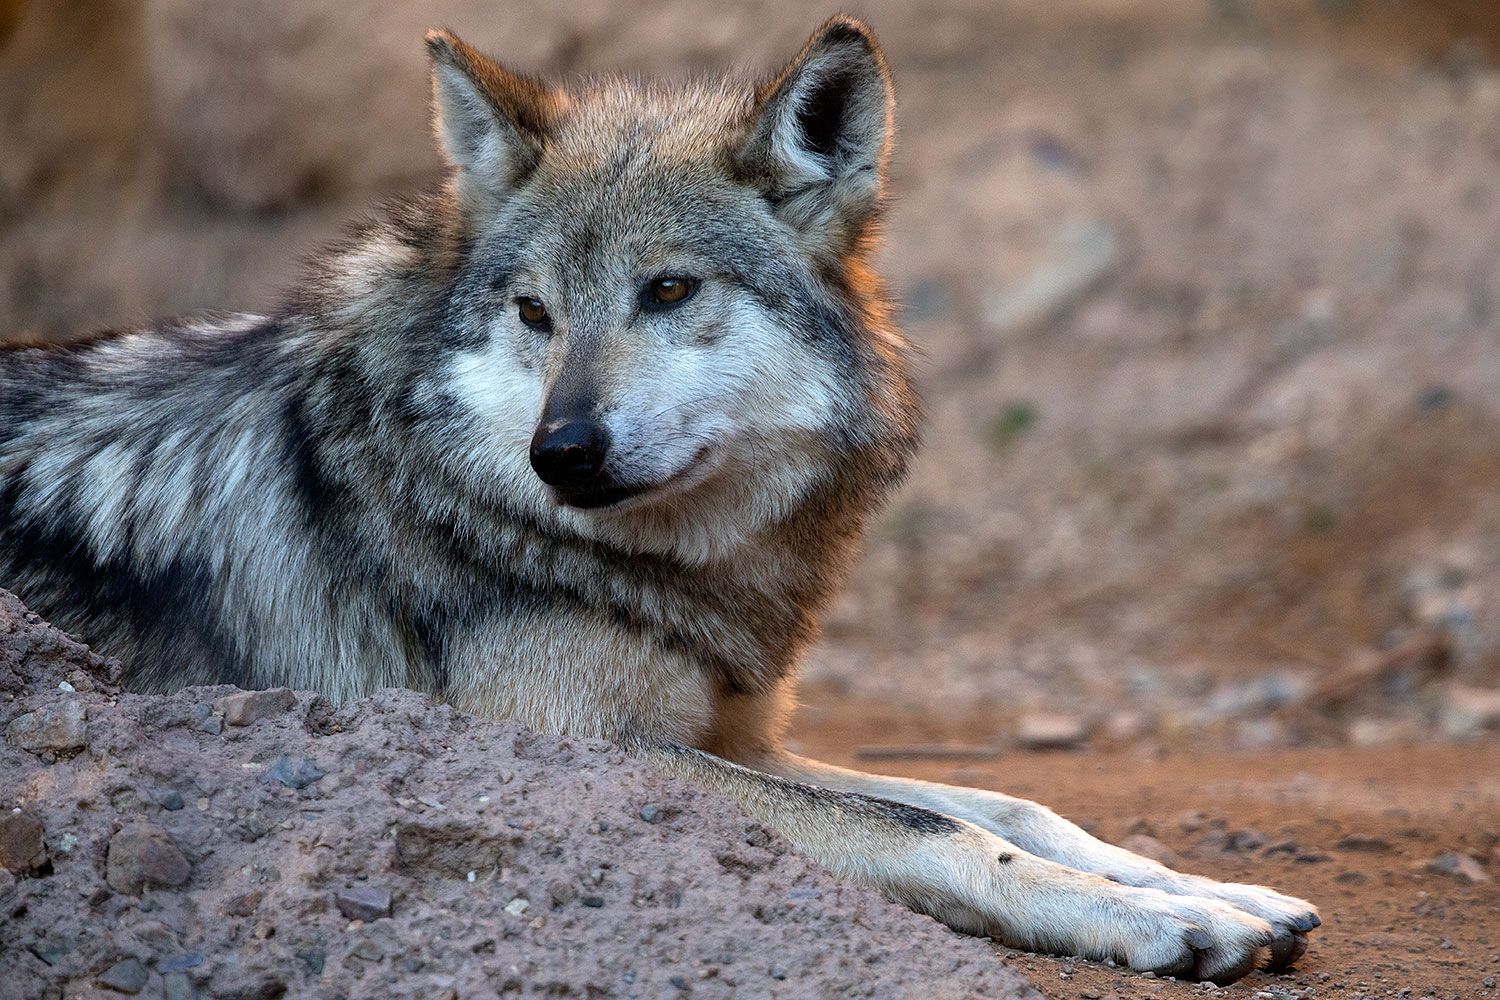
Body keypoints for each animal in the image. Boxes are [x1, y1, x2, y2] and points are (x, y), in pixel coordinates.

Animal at [0, 16, 1319, 982]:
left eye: (670, 290)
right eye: (535, 312)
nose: (561, 452)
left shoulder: (737, 736)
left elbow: (1008, 799)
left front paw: (1210, 889)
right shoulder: (588, 749)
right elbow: (935, 827)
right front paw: (1150, 919)